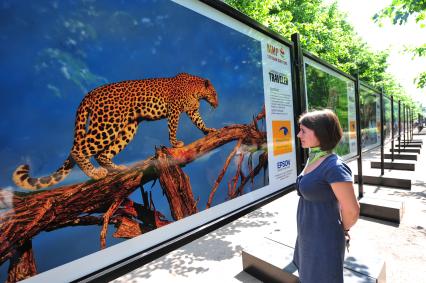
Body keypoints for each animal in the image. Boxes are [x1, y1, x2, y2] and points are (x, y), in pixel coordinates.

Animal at [13, 72, 220, 191]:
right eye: (215, 94)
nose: (217, 105)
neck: (196, 90)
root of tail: (90, 93)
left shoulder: (192, 111)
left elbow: (199, 122)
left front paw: (209, 130)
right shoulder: (174, 110)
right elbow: (173, 128)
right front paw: (175, 143)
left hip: (128, 127)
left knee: (101, 154)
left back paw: (117, 169)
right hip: (107, 124)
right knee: (79, 149)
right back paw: (94, 173)